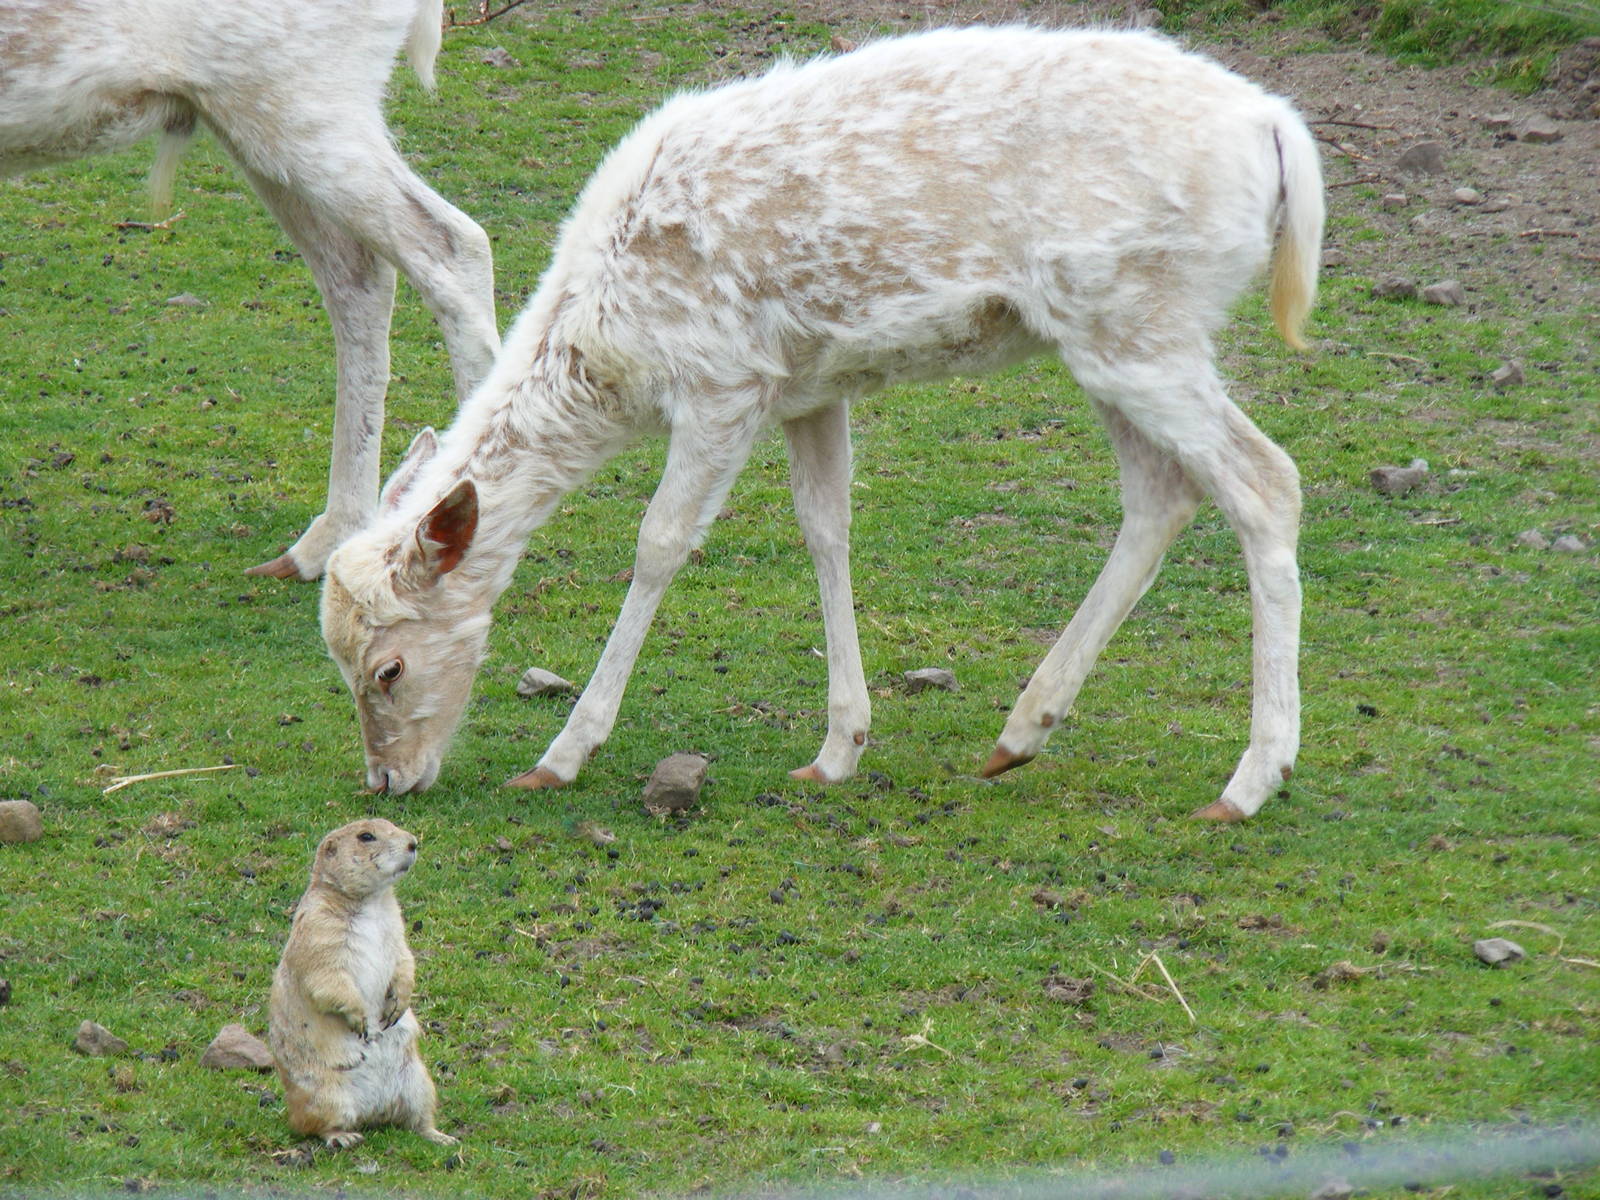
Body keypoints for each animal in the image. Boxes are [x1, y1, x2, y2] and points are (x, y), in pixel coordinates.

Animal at [320, 25, 1325, 820]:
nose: (387, 782)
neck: (612, 353)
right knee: (1161, 495)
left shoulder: (723, 380)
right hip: (1106, 336)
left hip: (1141, 321)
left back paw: (1251, 780)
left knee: (1267, 480)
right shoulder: (805, 387)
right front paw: (839, 748)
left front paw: (561, 756)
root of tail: (1280, 130)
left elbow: (660, 544)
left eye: (387, 669)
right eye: (340, 661)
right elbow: (826, 527)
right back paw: (1020, 732)